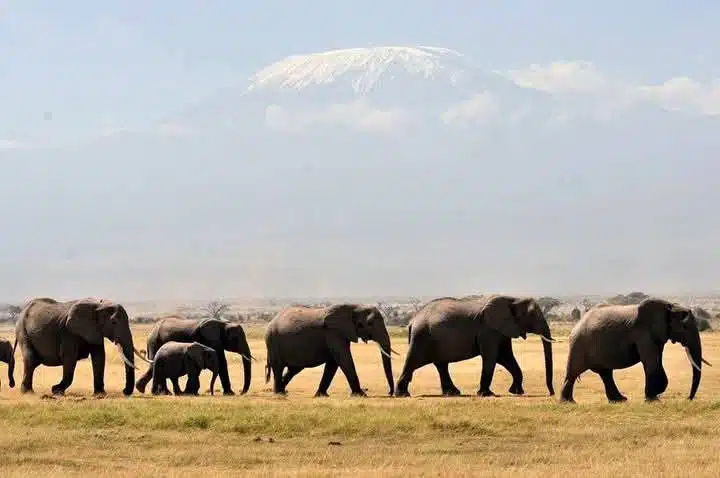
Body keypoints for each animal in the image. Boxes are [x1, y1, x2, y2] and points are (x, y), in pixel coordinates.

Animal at [14, 297, 148, 396]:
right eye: (113, 322)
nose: (124, 391)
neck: (98, 305)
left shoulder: (95, 330)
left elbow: (99, 357)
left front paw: (100, 394)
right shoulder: (69, 332)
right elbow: (70, 358)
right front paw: (56, 390)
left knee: (34, 362)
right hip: (23, 332)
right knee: (30, 360)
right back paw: (27, 393)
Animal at [264, 303, 398, 397]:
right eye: (369, 323)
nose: (389, 393)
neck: (354, 307)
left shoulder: (341, 334)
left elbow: (333, 363)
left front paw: (321, 395)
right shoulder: (333, 333)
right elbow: (343, 359)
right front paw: (361, 395)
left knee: (294, 369)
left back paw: (283, 391)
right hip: (272, 341)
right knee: (278, 367)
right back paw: (279, 394)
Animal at [394, 294, 555, 398]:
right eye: (532, 315)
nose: (551, 393)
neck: (513, 299)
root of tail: (412, 320)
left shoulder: (501, 330)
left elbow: (506, 357)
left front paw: (516, 392)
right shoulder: (488, 330)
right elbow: (492, 357)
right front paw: (486, 394)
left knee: (441, 365)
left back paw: (452, 393)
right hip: (421, 337)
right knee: (413, 362)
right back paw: (402, 394)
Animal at [560, 298, 712, 403]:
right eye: (684, 327)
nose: (688, 398)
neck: (669, 306)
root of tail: (577, 324)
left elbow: (657, 360)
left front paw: (656, 395)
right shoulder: (643, 334)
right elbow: (651, 362)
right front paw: (653, 399)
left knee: (606, 374)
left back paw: (619, 400)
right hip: (579, 344)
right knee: (573, 373)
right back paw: (568, 403)